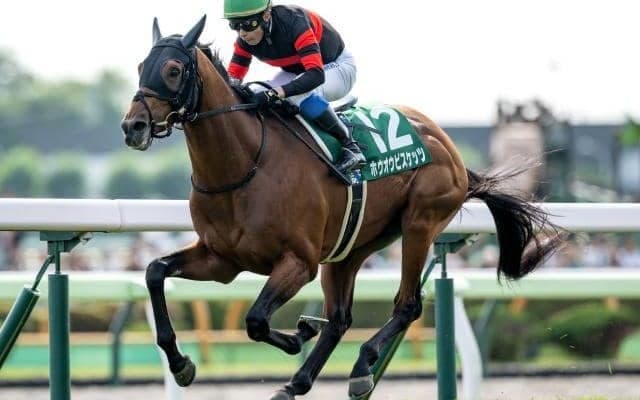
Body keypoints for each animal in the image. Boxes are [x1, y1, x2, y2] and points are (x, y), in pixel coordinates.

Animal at [120, 16, 564, 400]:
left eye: (174, 70)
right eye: (142, 66)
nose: (133, 126)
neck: (245, 165)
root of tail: (447, 145)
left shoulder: (298, 262)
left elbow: (257, 320)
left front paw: (298, 333)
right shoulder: (222, 260)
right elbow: (155, 271)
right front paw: (181, 364)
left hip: (420, 223)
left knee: (407, 304)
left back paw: (361, 368)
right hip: (350, 247)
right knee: (339, 319)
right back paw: (297, 383)